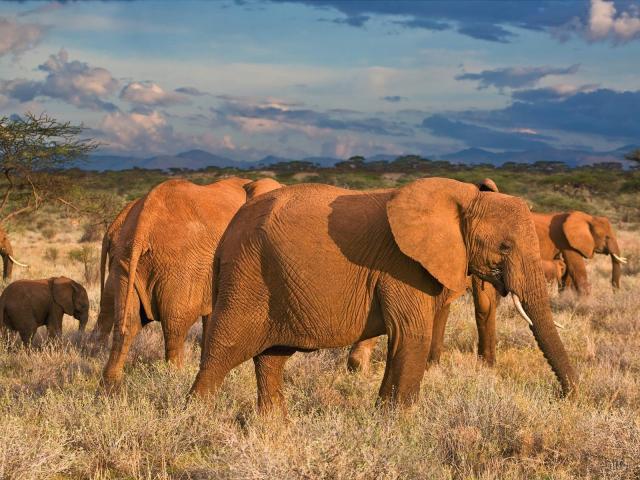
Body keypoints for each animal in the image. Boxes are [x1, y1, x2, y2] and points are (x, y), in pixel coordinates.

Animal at [100, 177, 282, 388]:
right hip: (180, 266)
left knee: (127, 321)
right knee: (175, 325)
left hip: (125, 262)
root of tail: (143, 224)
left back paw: (110, 386)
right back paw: (174, 380)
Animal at [189, 177, 577, 413]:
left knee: (271, 360)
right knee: (223, 352)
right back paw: (199, 422)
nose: (566, 397)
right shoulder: (401, 265)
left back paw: (274, 429)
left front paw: (382, 416)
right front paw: (399, 423)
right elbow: (412, 335)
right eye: (505, 247)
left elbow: (403, 339)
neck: (462, 198)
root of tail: (228, 231)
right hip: (247, 275)